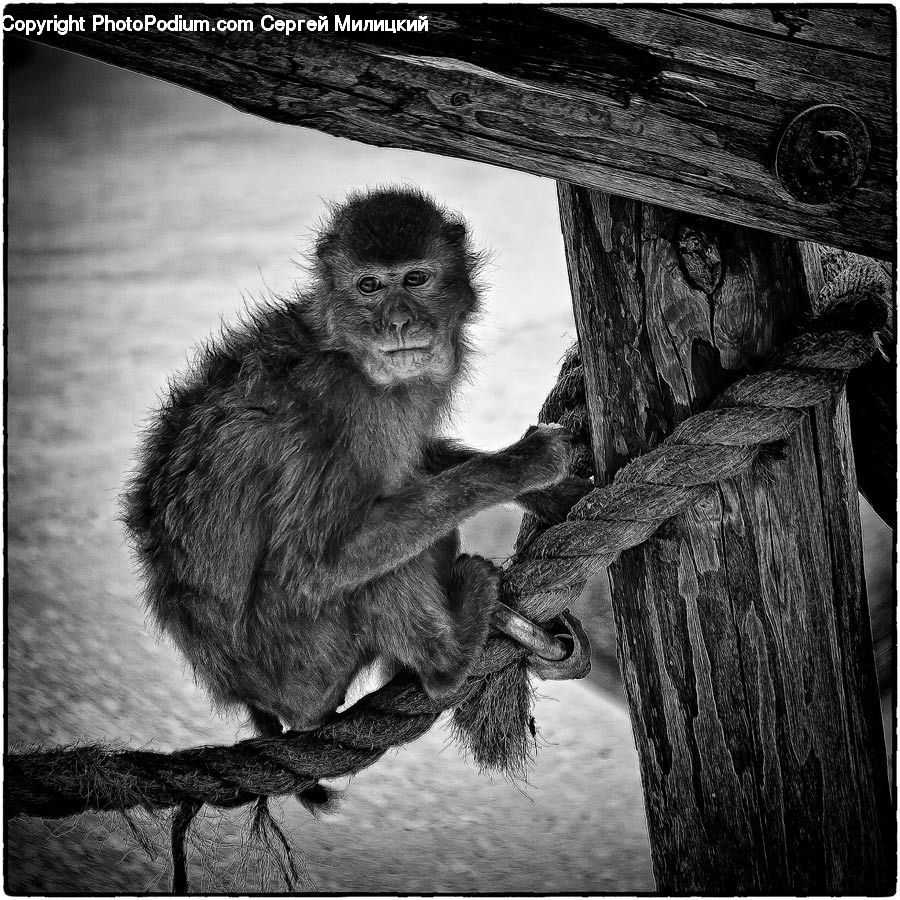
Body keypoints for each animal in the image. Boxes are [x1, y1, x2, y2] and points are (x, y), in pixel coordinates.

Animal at [122, 187, 588, 805]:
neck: (343, 348)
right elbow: (315, 563)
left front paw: (551, 493)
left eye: (415, 278)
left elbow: (412, 460)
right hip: (302, 658)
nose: (398, 321)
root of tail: (246, 693)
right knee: (376, 559)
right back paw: (448, 657)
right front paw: (522, 465)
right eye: (369, 286)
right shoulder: (346, 404)